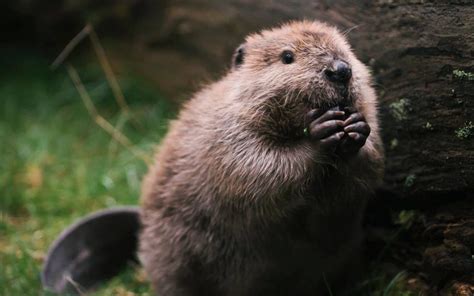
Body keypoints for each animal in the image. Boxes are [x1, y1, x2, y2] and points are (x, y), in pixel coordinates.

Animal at [139, 19, 384, 294]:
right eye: (287, 56)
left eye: (347, 49)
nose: (340, 70)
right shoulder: (226, 132)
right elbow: (256, 170)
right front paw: (322, 132)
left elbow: (359, 179)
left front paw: (356, 127)